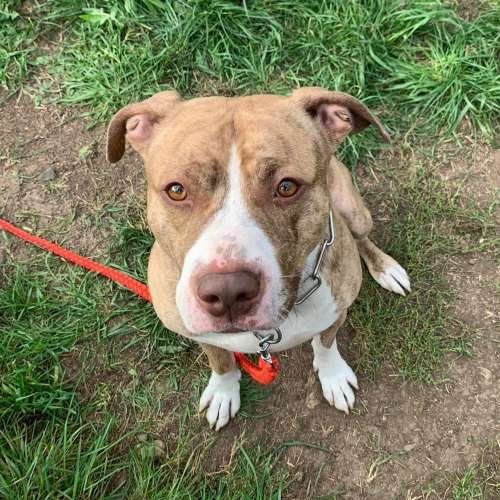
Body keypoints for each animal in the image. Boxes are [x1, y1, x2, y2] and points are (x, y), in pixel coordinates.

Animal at [107, 87, 410, 430]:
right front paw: (224, 391)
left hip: (353, 210)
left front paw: (333, 376)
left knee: (362, 237)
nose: (227, 292)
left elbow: (325, 345)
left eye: (287, 186)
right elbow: (221, 361)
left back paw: (386, 268)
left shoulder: (336, 313)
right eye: (177, 190)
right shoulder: (200, 335)